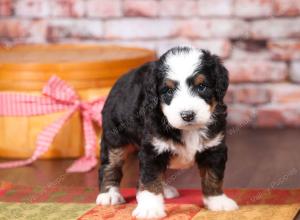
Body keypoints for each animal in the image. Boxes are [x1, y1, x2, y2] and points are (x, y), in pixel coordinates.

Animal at [97, 46, 238, 218]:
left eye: (201, 86)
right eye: (168, 91)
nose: (187, 115)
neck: (188, 130)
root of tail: (121, 80)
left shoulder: (214, 147)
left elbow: (213, 176)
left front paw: (217, 201)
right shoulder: (152, 148)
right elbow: (150, 180)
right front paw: (150, 208)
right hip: (114, 137)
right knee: (110, 165)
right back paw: (109, 194)